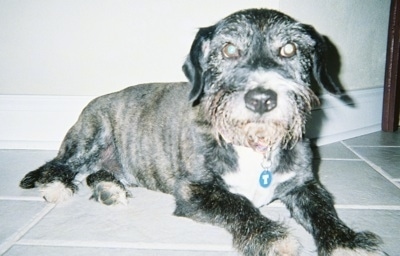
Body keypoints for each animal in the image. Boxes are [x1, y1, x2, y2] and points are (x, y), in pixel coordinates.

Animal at [20, 8, 386, 256]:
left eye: (289, 49)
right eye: (229, 49)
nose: (262, 98)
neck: (253, 144)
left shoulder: (304, 185)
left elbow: (323, 211)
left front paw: (346, 242)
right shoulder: (194, 190)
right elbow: (238, 205)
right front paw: (271, 236)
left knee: (98, 174)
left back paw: (109, 189)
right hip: (91, 136)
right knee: (59, 165)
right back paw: (57, 186)